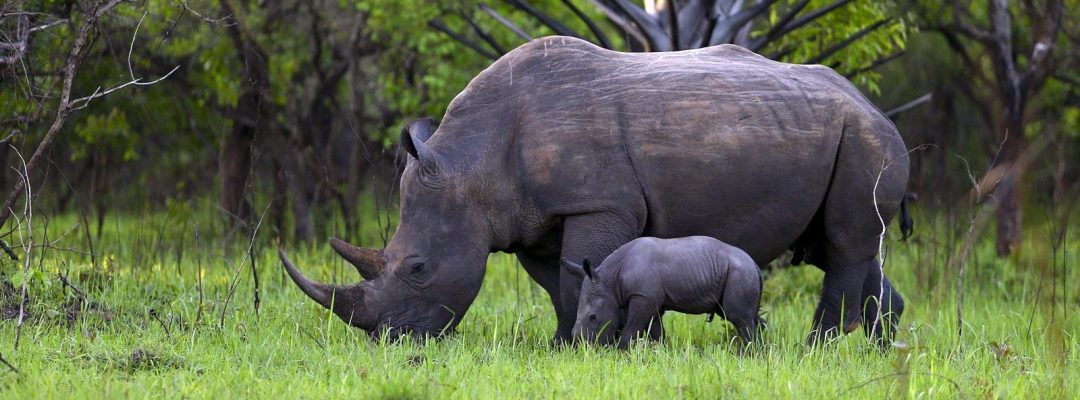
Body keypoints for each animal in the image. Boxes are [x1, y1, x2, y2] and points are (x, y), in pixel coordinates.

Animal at [279, 36, 910, 345]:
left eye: (416, 268)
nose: (389, 341)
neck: (473, 165)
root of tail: (879, 109)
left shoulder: (599, 203)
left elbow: (580, 271)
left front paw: (603, 345)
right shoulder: (531, 218)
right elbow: (559, 284)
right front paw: (572, 344)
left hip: (864, 140)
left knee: (845, 245)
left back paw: (818, 347)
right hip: (833, 134)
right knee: (845, 246)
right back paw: (878, 349)